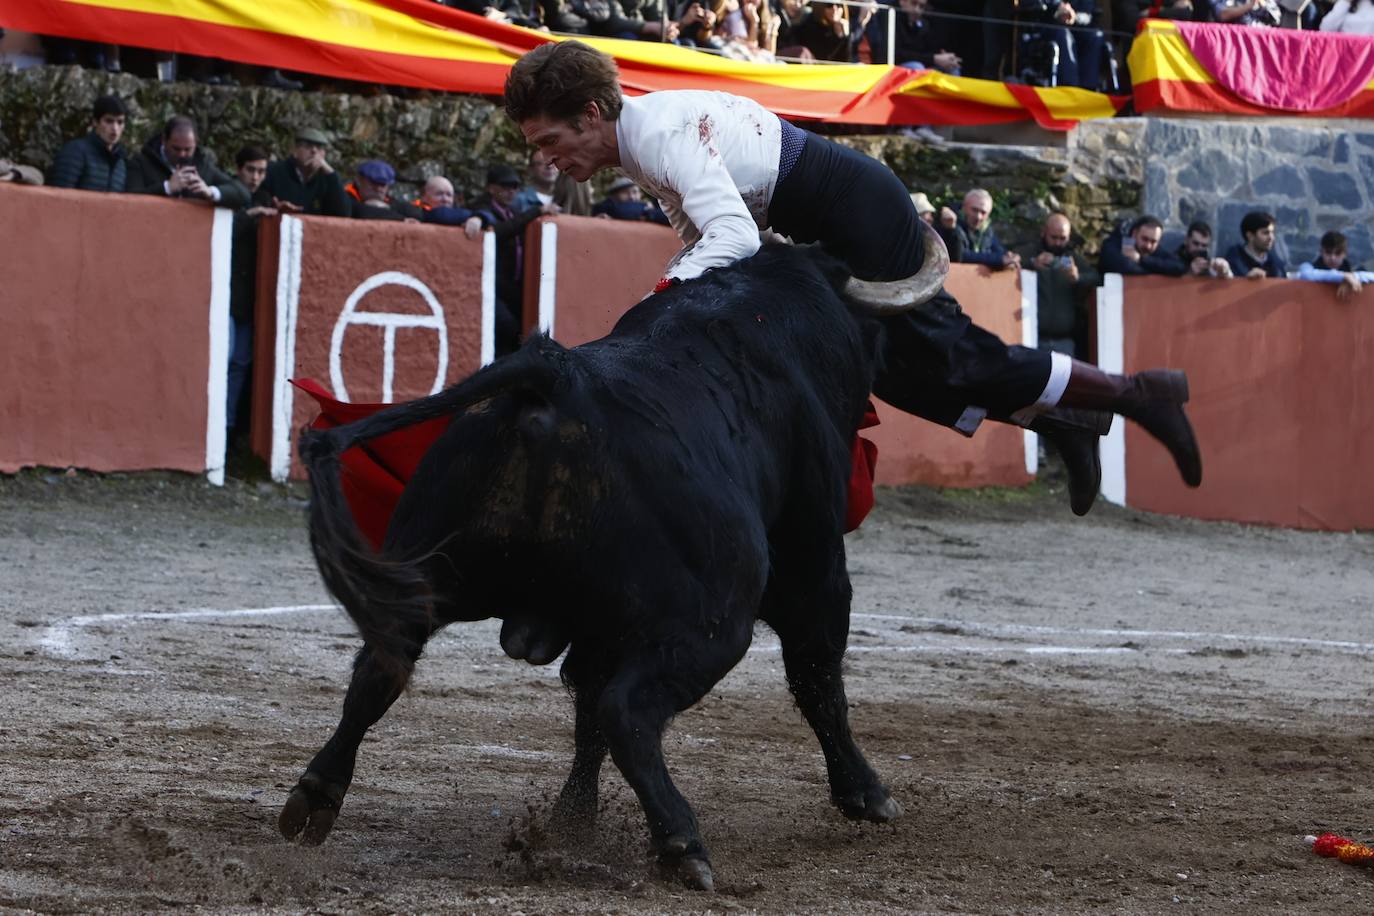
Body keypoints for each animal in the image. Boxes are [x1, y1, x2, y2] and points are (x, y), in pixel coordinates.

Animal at [278, 243, 901, 889]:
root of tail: (556, 379)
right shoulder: (814, 566)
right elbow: (818, 675)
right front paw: (865, 794)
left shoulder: (601, 625)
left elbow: (585, 710)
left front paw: (572, 823)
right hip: (712, 624)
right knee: (629, 711)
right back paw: (682, 843)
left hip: (431, 569)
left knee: (381, 668)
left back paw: (316, 796)